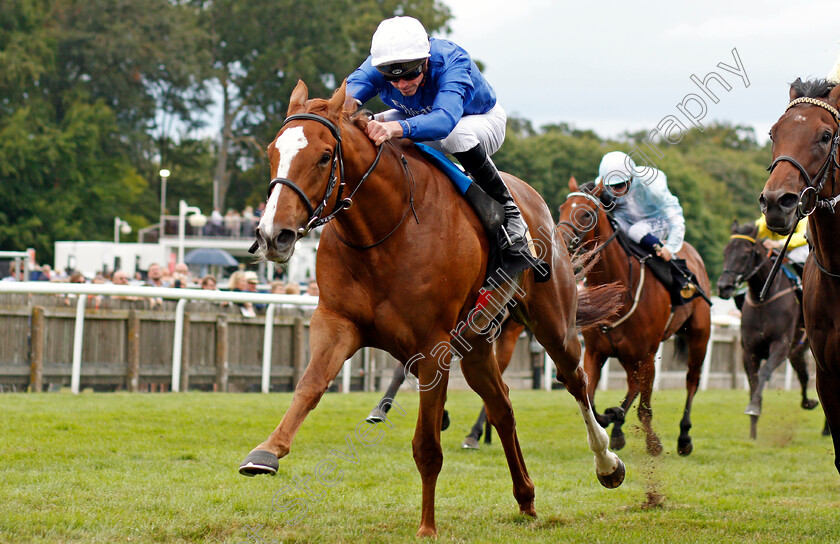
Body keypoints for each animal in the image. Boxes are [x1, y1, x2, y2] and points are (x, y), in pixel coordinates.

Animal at [240, 81, 628, 536]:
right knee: (502, 406)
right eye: (272, 152)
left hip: (554, 325)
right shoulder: (337, 322)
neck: (384, 230)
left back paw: (607, 463)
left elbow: (427, 444)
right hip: (477, 343)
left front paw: (427, 526)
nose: (273, 235)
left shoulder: (432, 347)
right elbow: (310, 386)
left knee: (575, 382)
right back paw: (526, 498)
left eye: (322, 156)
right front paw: (266, 452)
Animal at [556, 177, 708, 454]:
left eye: (585, 214)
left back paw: (684, 437)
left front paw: (653, 443)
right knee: (633, 383)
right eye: (561, 208)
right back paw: (617, 426)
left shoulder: (647, 354)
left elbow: (645, 408)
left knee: (692, 380)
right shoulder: (595, 352)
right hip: (628, 354)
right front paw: (611, 418)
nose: (559, 242)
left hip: (698, 335)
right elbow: (591, 399)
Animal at [716, 220, 820, 438]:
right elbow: (753, 383)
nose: (723, 287)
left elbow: (764, 373)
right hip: (798, 350)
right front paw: (753, 431)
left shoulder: (780, 345)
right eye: (725, 251)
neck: (762, 299)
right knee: (803, 374)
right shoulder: (749, 351)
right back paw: (808, 402)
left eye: (746, 253)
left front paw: (754, 408)